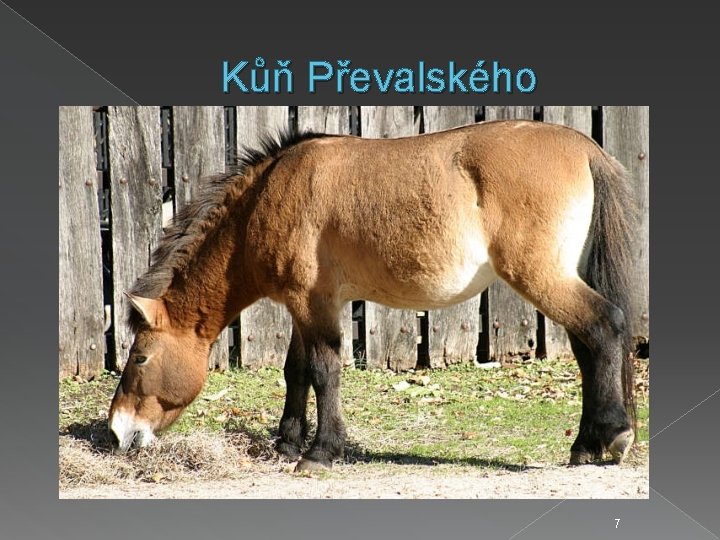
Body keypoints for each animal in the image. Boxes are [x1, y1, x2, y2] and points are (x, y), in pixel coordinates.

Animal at [108, 119, 638, 472]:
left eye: (139, 358)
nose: (117, 432)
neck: (268, 196)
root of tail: (584, 147)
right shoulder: (308, 306)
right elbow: (296, 371)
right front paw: (288, 443)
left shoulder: (314, 303)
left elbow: (324, 371)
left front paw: (320, 452)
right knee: (588, 349)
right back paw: (585, 446)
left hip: (542, 278)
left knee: (606, 326)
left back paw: (614, 434)